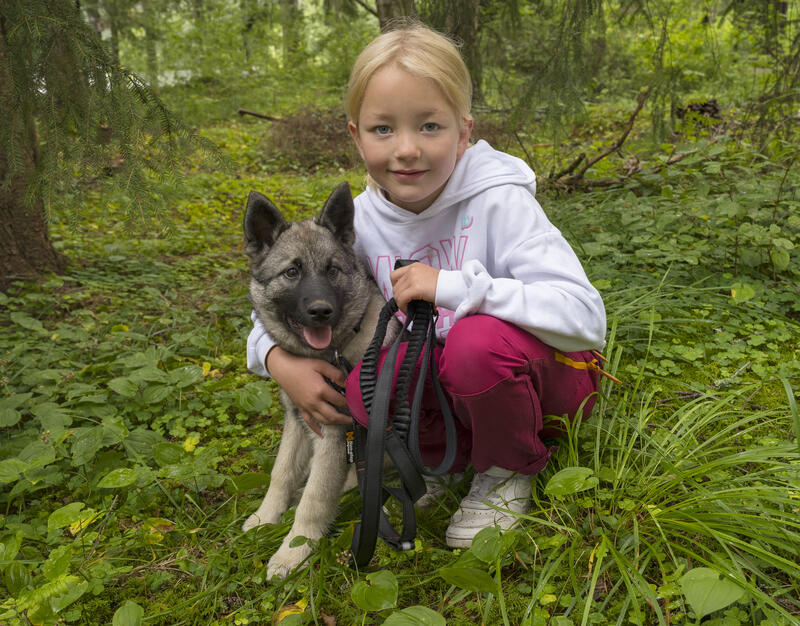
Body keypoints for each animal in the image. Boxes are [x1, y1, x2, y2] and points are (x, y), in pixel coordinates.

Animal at [239, 183, 390, 576]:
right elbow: (281, 473)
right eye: (292, 271)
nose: (321, 310)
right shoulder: (299, 420)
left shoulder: (335, 433)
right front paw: (266, 516)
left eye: (332, 269)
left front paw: (294, 550)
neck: (334, 352)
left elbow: (315, 497)